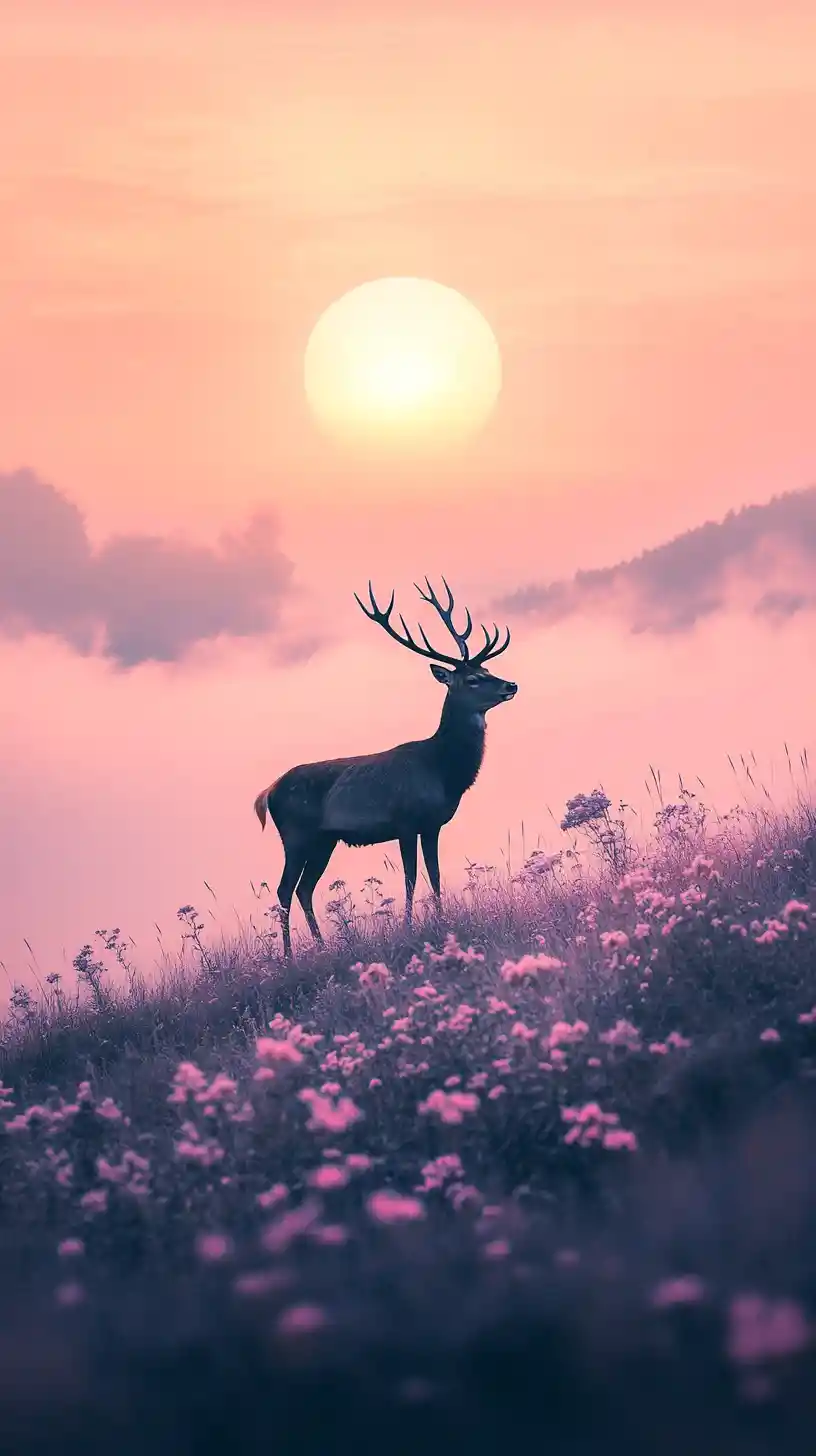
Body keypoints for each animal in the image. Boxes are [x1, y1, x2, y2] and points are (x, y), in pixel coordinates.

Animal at [253, 578, 517, 959]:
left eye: (486, 670)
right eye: (471, 680)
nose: (511, 684)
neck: (443, 772)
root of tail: (267, 793)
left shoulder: (432, 825)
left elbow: (434, 875)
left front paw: (442, 921)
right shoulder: (405, 821)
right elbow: (410, 878)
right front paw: (410, 928)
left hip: (324, 839)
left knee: (304, 888)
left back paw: (322, 946)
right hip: (295, 834)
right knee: (284, 889)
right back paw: (289, 957)